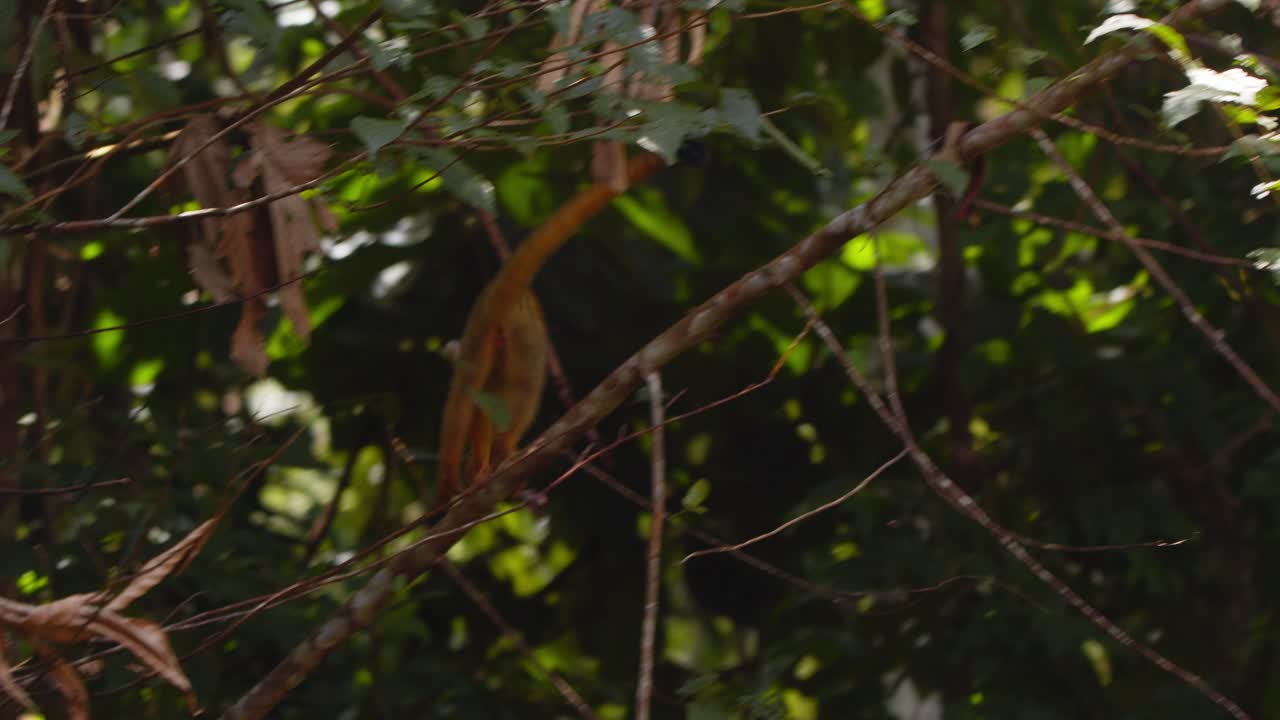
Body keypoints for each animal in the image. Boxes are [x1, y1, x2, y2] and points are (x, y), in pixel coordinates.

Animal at [435, 151, 666, 504]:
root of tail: (502, 293)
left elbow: (476, 399)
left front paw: (473, 466)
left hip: (480, 330)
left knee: (468, 393)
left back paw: (461, 471)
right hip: (521, 335)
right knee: (521, 387)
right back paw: (496, 457)